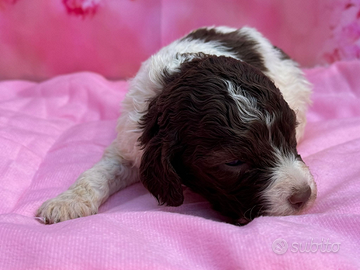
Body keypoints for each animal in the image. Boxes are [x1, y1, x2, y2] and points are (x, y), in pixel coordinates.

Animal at [37, 25, 318, 224]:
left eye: (289, 135)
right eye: (234, 162)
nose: (303, 196)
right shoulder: (130, 140)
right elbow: (99, 171)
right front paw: (67, 202)